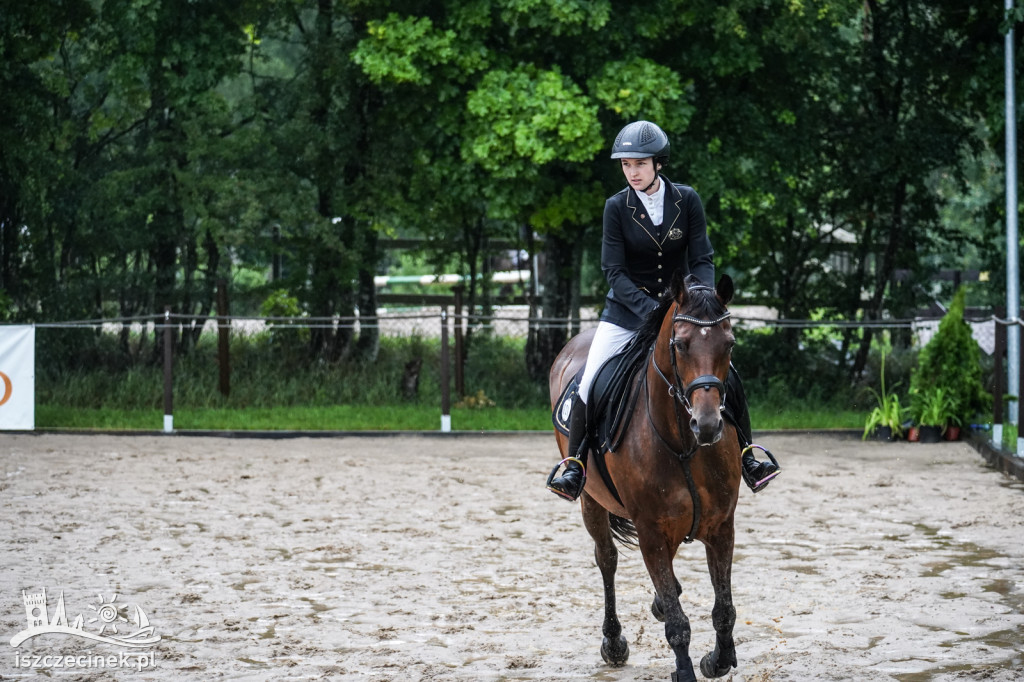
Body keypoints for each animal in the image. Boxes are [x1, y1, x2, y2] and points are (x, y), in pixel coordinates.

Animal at [548, 270, 741, 679]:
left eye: (729, 344)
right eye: (680, 345)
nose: (707, 425)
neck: (683, 443)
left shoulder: (721, 527)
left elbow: (724, 609)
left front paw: (717, 660)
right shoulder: (651, 533)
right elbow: (678, 625)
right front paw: (685, 669)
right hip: (591, 501)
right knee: (606, 558)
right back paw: (613, 642)